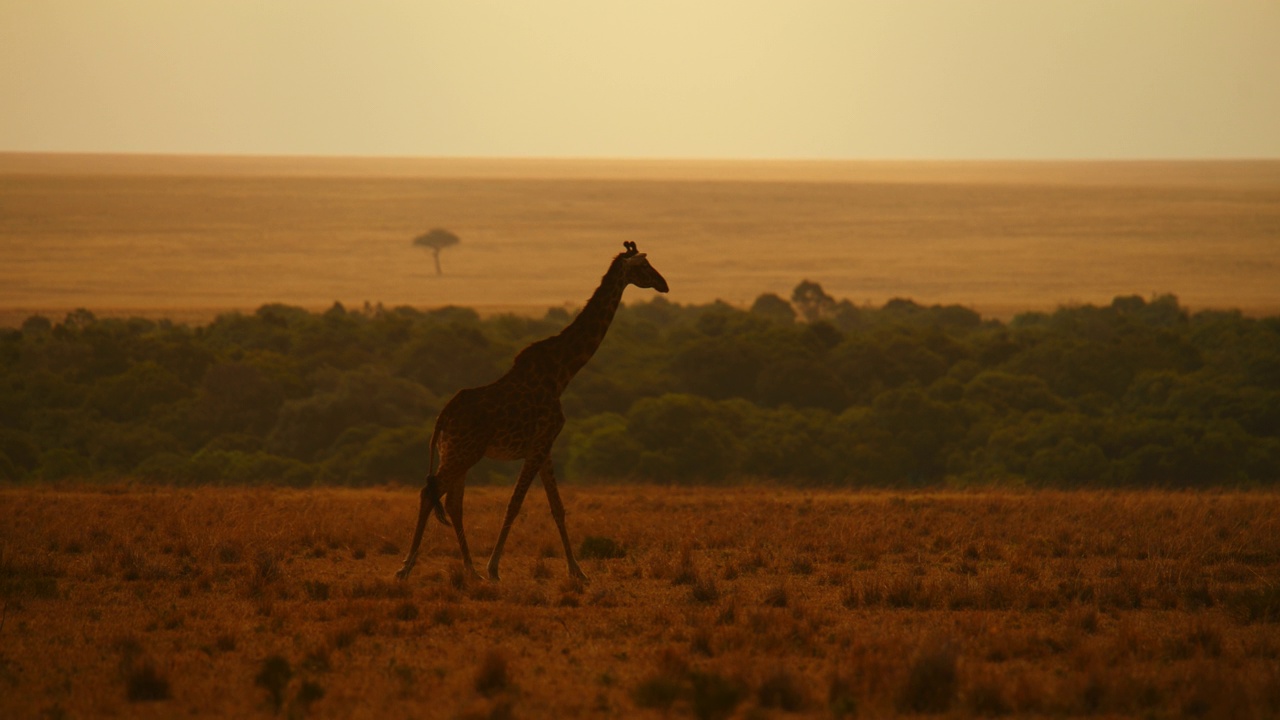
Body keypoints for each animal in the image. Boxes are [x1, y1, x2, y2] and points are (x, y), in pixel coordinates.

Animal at [394, 238, 670, 579]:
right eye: (644, 266)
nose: (664, 284)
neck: (562, 373)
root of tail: (442, 417)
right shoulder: (539, 444)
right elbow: (515, 503)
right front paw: (495, 568)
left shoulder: (544, 446)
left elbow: (557, 507)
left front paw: (577, 572)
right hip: (463, 452)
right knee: (429, 493)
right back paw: (407, 567)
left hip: (455, 452)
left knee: (453, 502)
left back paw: (469, 569)